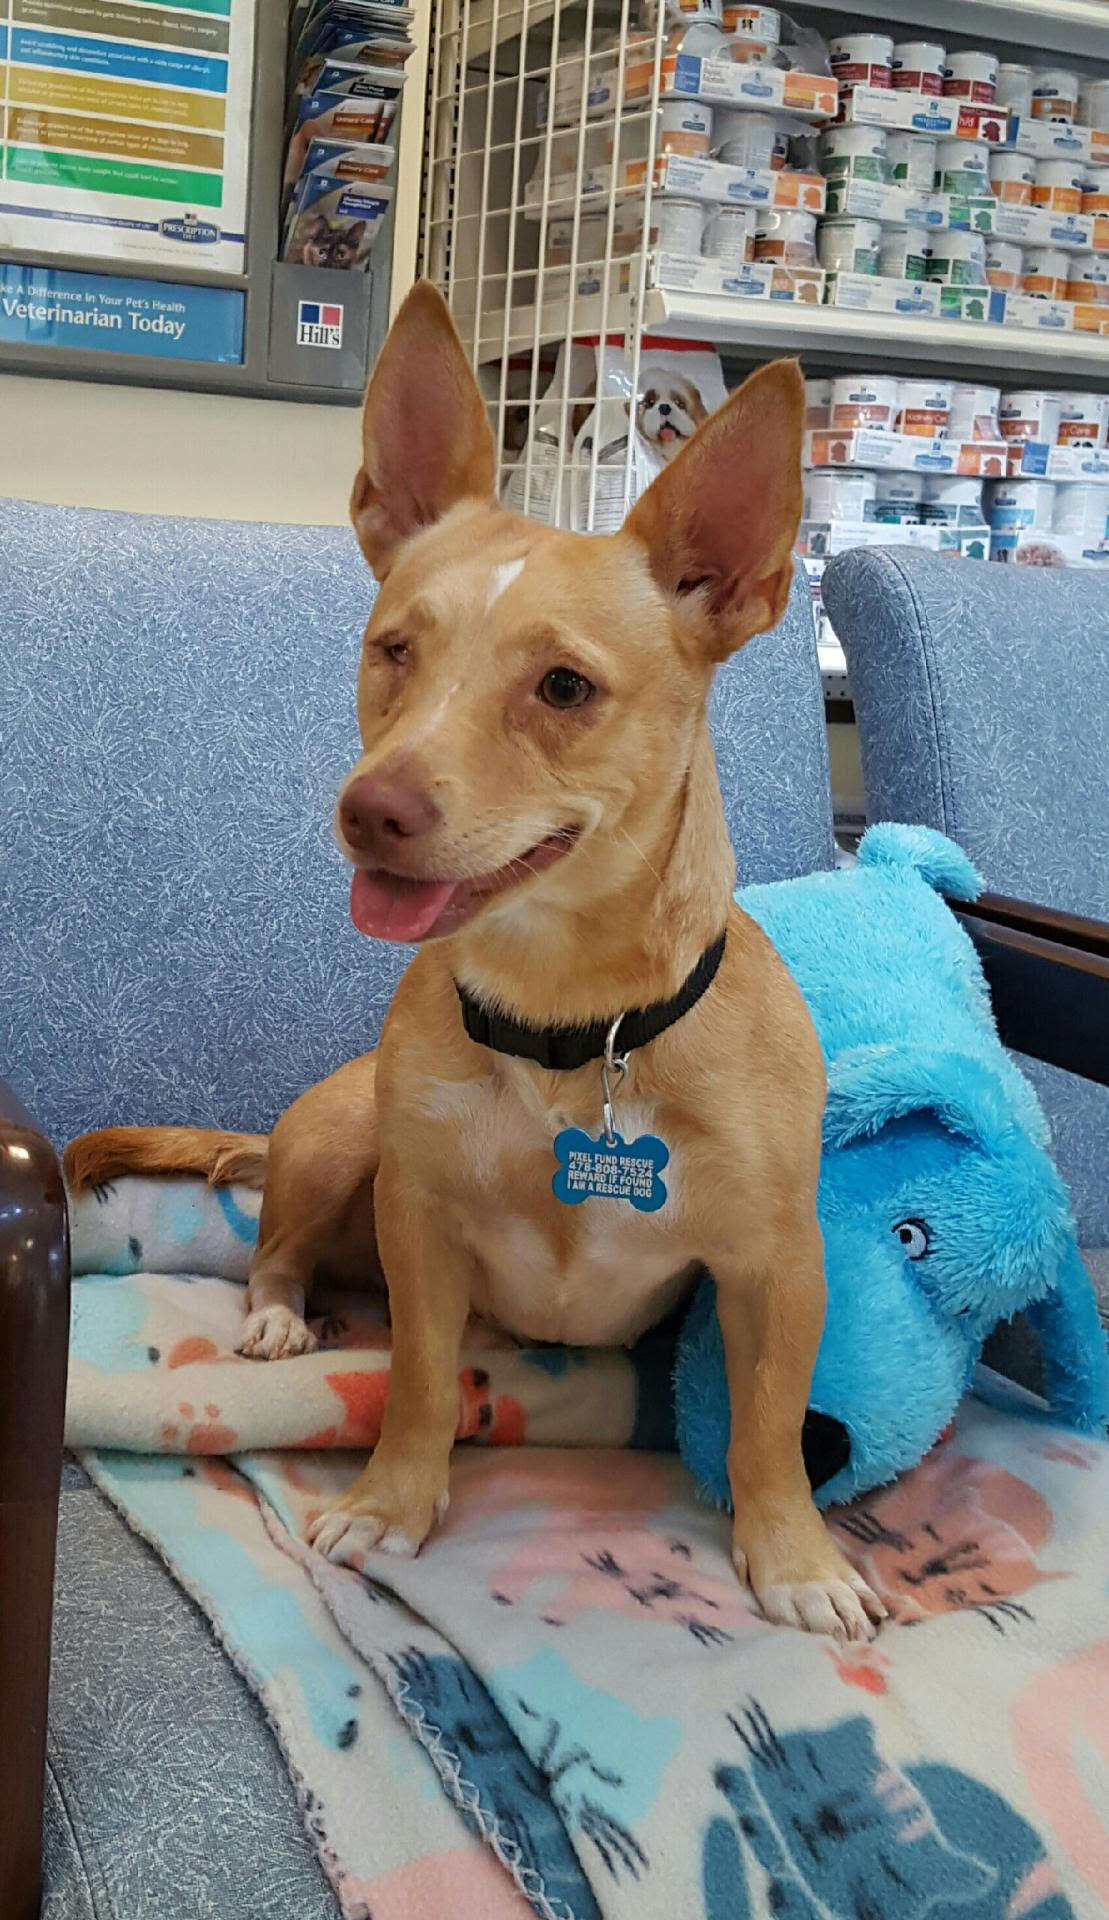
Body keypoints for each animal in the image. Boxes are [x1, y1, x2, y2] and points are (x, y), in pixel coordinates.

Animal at [69, 278, 882, 1643]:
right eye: (392, 648)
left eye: (562, 687)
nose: (368, 810)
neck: (569, 1026)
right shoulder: (423, 1231)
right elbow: (412, 1378)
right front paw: (393, 1501)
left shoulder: (780, 1267)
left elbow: (768, 1422)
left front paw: (796, 1556)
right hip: (337, 1141)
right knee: (275, 1250)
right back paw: (283, 1319)